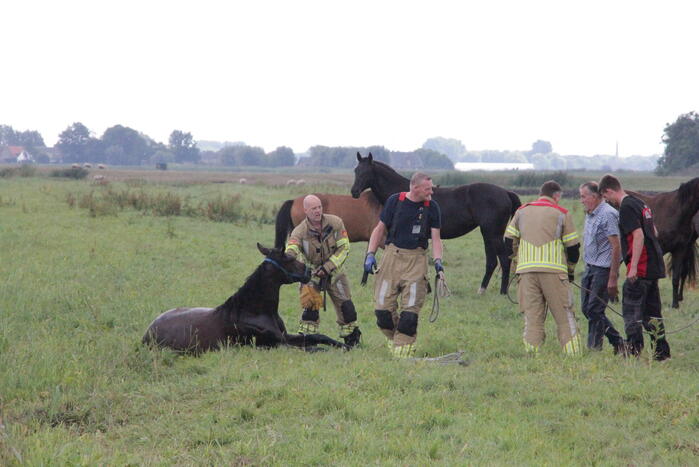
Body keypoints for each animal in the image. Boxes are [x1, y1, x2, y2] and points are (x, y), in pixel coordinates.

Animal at [142, 243, 349, 353]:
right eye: (289, 259)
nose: (310, 272)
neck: (253, 311)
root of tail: (148, 332)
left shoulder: (284, 336)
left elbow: (317, 336)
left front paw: (345, 345)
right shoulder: (275, 344)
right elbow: (309, 348)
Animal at [351, 153, 521, 295]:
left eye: (366, 172)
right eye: (356, 170)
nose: (354, 192)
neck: (408, 195)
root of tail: (506, 192)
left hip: (492, 234)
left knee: (503, 260)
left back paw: (502, 292)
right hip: (488, 234)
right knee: (492, 262)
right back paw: (482, 290)